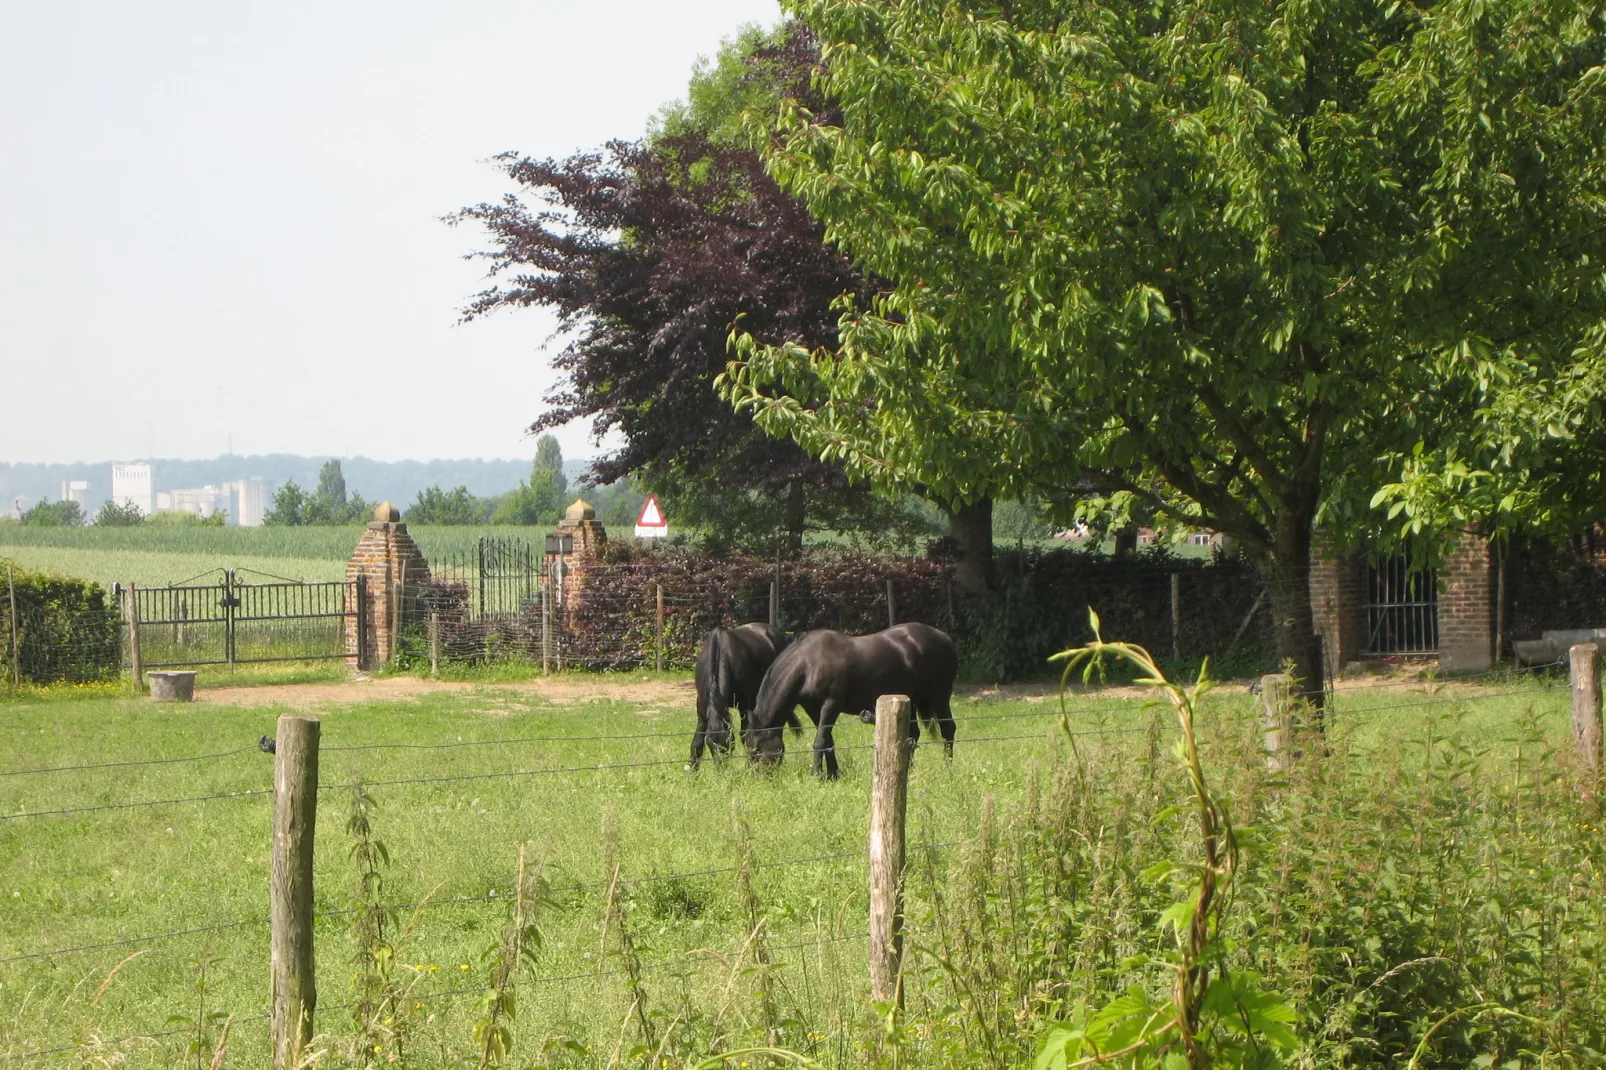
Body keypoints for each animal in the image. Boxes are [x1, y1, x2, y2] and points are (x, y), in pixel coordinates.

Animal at [687, 620, 793, 761]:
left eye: (728, 745)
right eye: (710, 744)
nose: (722, 765)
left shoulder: (744, 704)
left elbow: (745, 736)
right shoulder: (702, 705)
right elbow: (697, 741)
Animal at [748, 616, 957, 774]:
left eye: (757, 748)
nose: (756, 776)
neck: (809, 664)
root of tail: (946, 638)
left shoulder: (832, 704)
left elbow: (820, 740)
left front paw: (816, 774)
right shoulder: (814, 709)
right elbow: (828, 740)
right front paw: (833, 774)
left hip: (939, 698)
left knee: (948, 729)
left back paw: (947, 768)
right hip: (910, 702)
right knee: (912, 736)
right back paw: (908, 770)